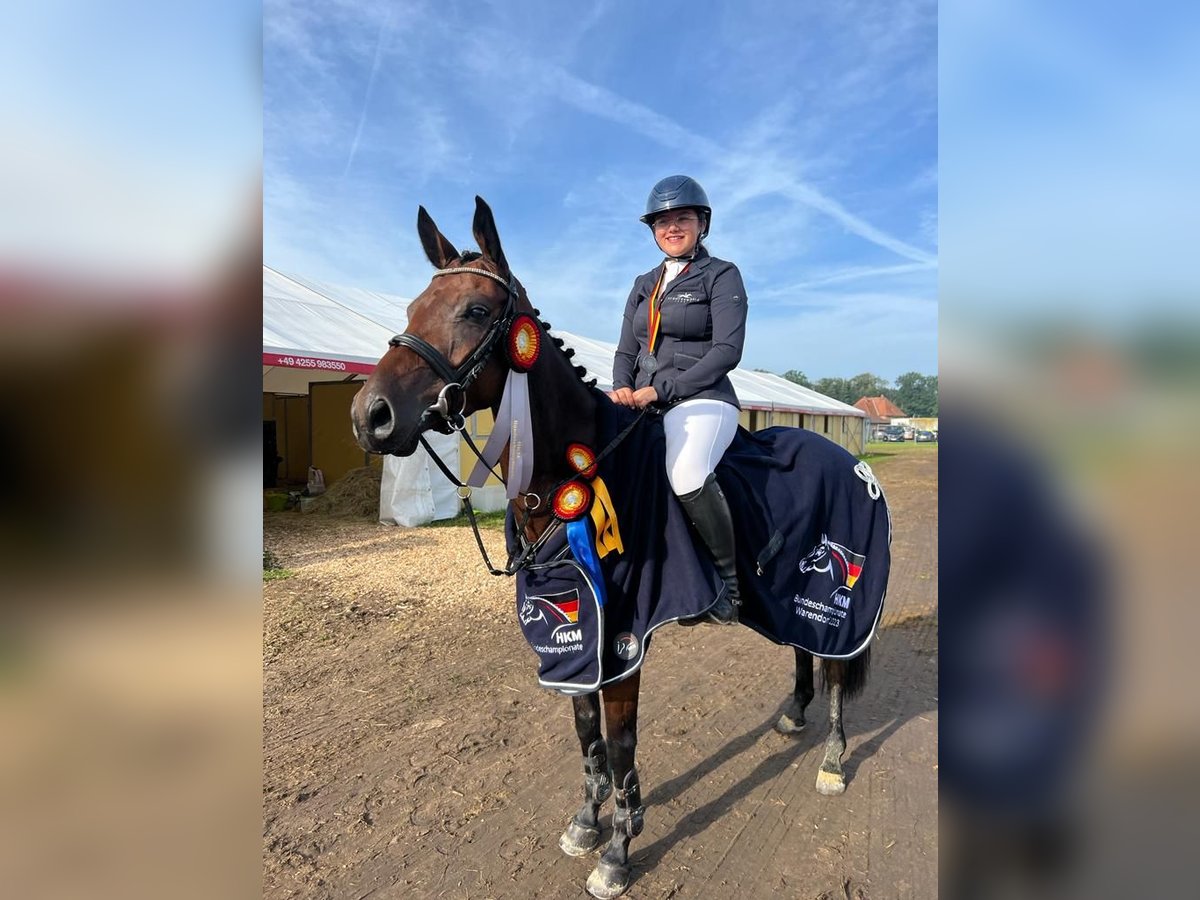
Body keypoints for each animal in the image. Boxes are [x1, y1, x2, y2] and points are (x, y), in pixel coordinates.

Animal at [350, 199, 878, 900]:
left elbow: (623, 741)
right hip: (787, 590)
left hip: (834, 592)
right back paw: (793, 717)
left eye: (476, 311)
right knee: (803, 648)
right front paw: (586, 820)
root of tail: (851, 460)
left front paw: (620, 850)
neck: (578, 468)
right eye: (412, 307)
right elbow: (585, 731)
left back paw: (834, 761)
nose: (370, 416)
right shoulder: (579, 630)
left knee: (838, 666)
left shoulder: (625, 636)